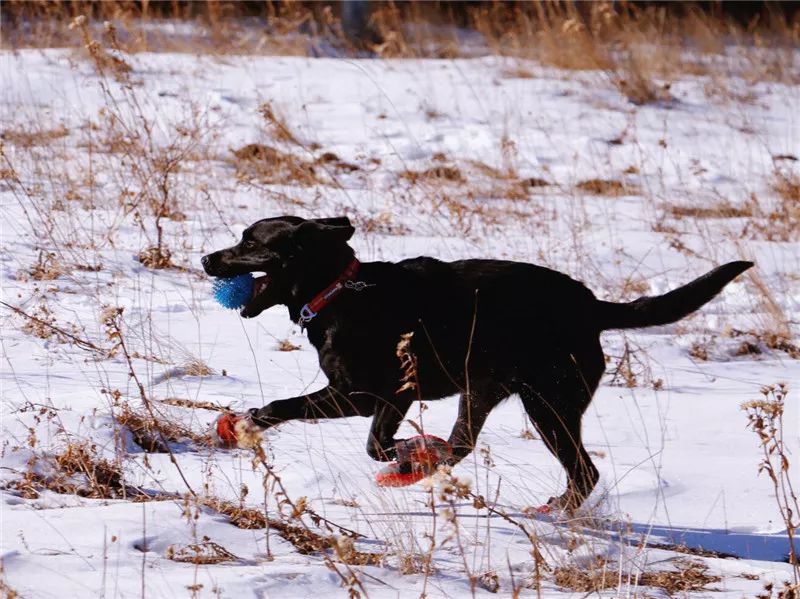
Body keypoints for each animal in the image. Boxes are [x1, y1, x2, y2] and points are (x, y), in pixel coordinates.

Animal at [203, 216, 752, 510]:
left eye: (250, 241)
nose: (207, 259)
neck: (340, 290)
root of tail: (592, 305)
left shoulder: (362, 394)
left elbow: (296, 410)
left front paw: (250, 422)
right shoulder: (389, 397)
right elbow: (375, 443)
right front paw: (411, 454)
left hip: (548, 404)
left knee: (584, 471)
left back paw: (556, 511)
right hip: (484, 389)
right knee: (464, 444)